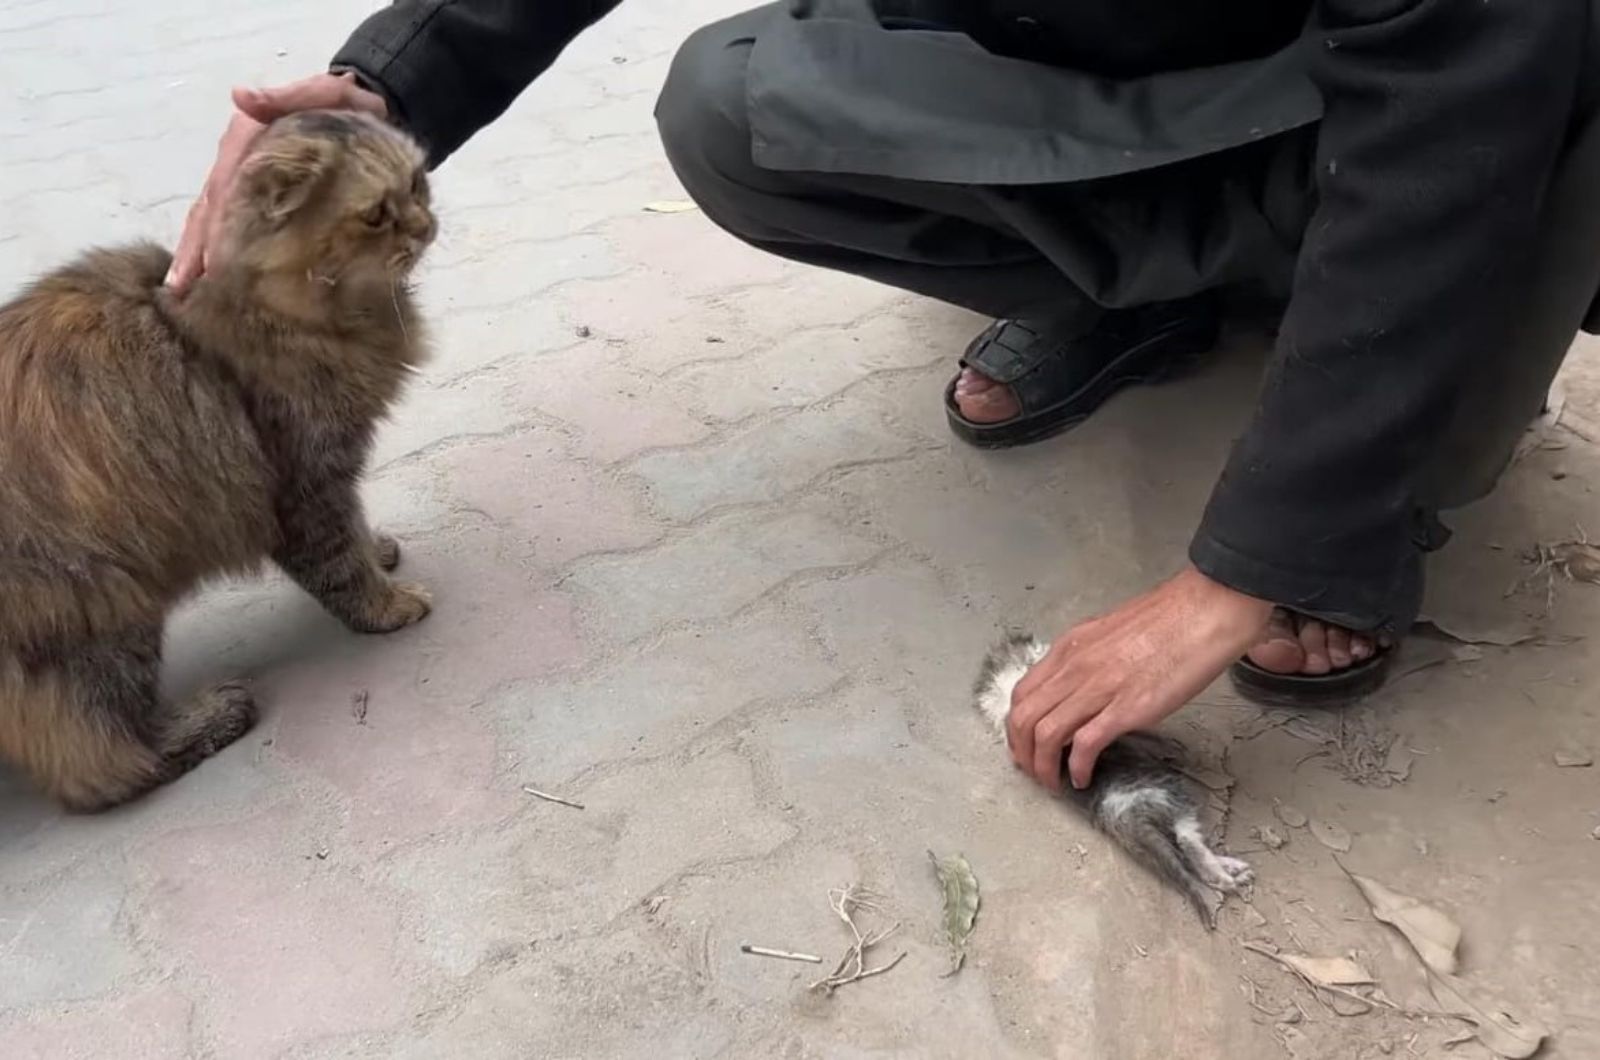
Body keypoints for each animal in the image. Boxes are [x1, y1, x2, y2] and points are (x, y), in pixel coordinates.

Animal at [0, 112, 438, 813]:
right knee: (96, 765)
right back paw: (211, 718)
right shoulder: (304, 482)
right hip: (104, 608)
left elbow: (356, 536)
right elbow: (341, 566)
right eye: (376, 215)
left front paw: (379, 551)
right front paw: (387, 604)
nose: (428, 224)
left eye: (418, 183)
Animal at [966, 634, 1254, 928]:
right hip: (1172, 796)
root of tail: (1125, 812)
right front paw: (1170, 746)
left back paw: (1231, 870)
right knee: (1187, 840)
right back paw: (1226, 875)